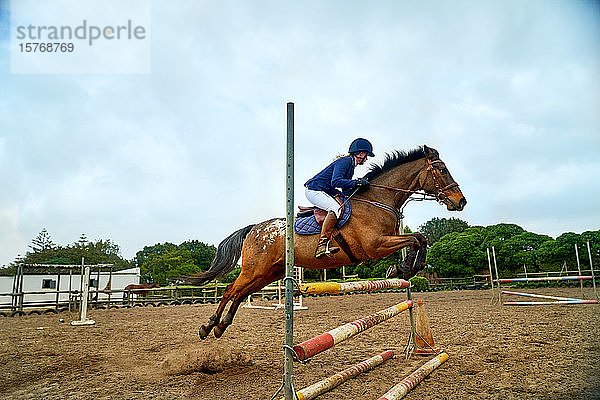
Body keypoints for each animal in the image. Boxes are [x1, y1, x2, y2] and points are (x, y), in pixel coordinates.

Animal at [185, 145, 466, 340]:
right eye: (442, 170)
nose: (461, 201)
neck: (378, 200)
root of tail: (255, 228)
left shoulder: (387, 241)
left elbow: (420, 238)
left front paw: (405, 269)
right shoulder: (375, 245)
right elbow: (416, 239)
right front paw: (401, 268)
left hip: (267, 273)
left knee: (242, 293)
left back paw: (221, 327)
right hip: (254, 269)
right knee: (231, 290)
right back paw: (208, 326)